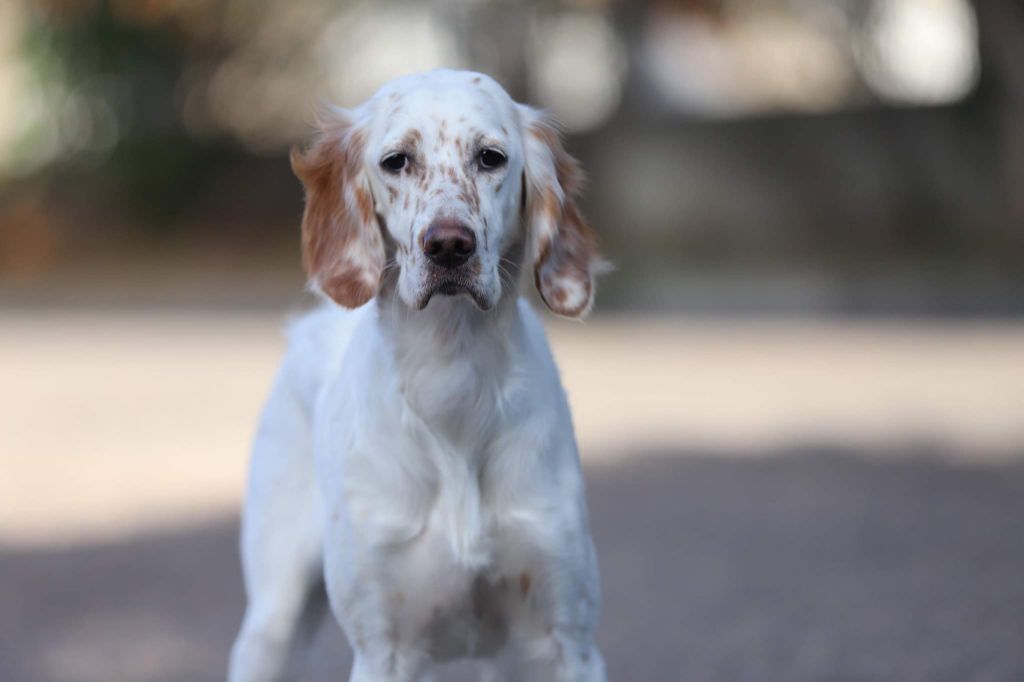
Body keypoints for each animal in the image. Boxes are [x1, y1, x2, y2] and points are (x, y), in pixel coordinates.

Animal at [226, 69, 606, 679]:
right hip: (273, 618)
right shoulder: (384, 648)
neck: (453, 382)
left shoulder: (567, 639)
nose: (449, 244)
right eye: (396, 161)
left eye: (491, 157)